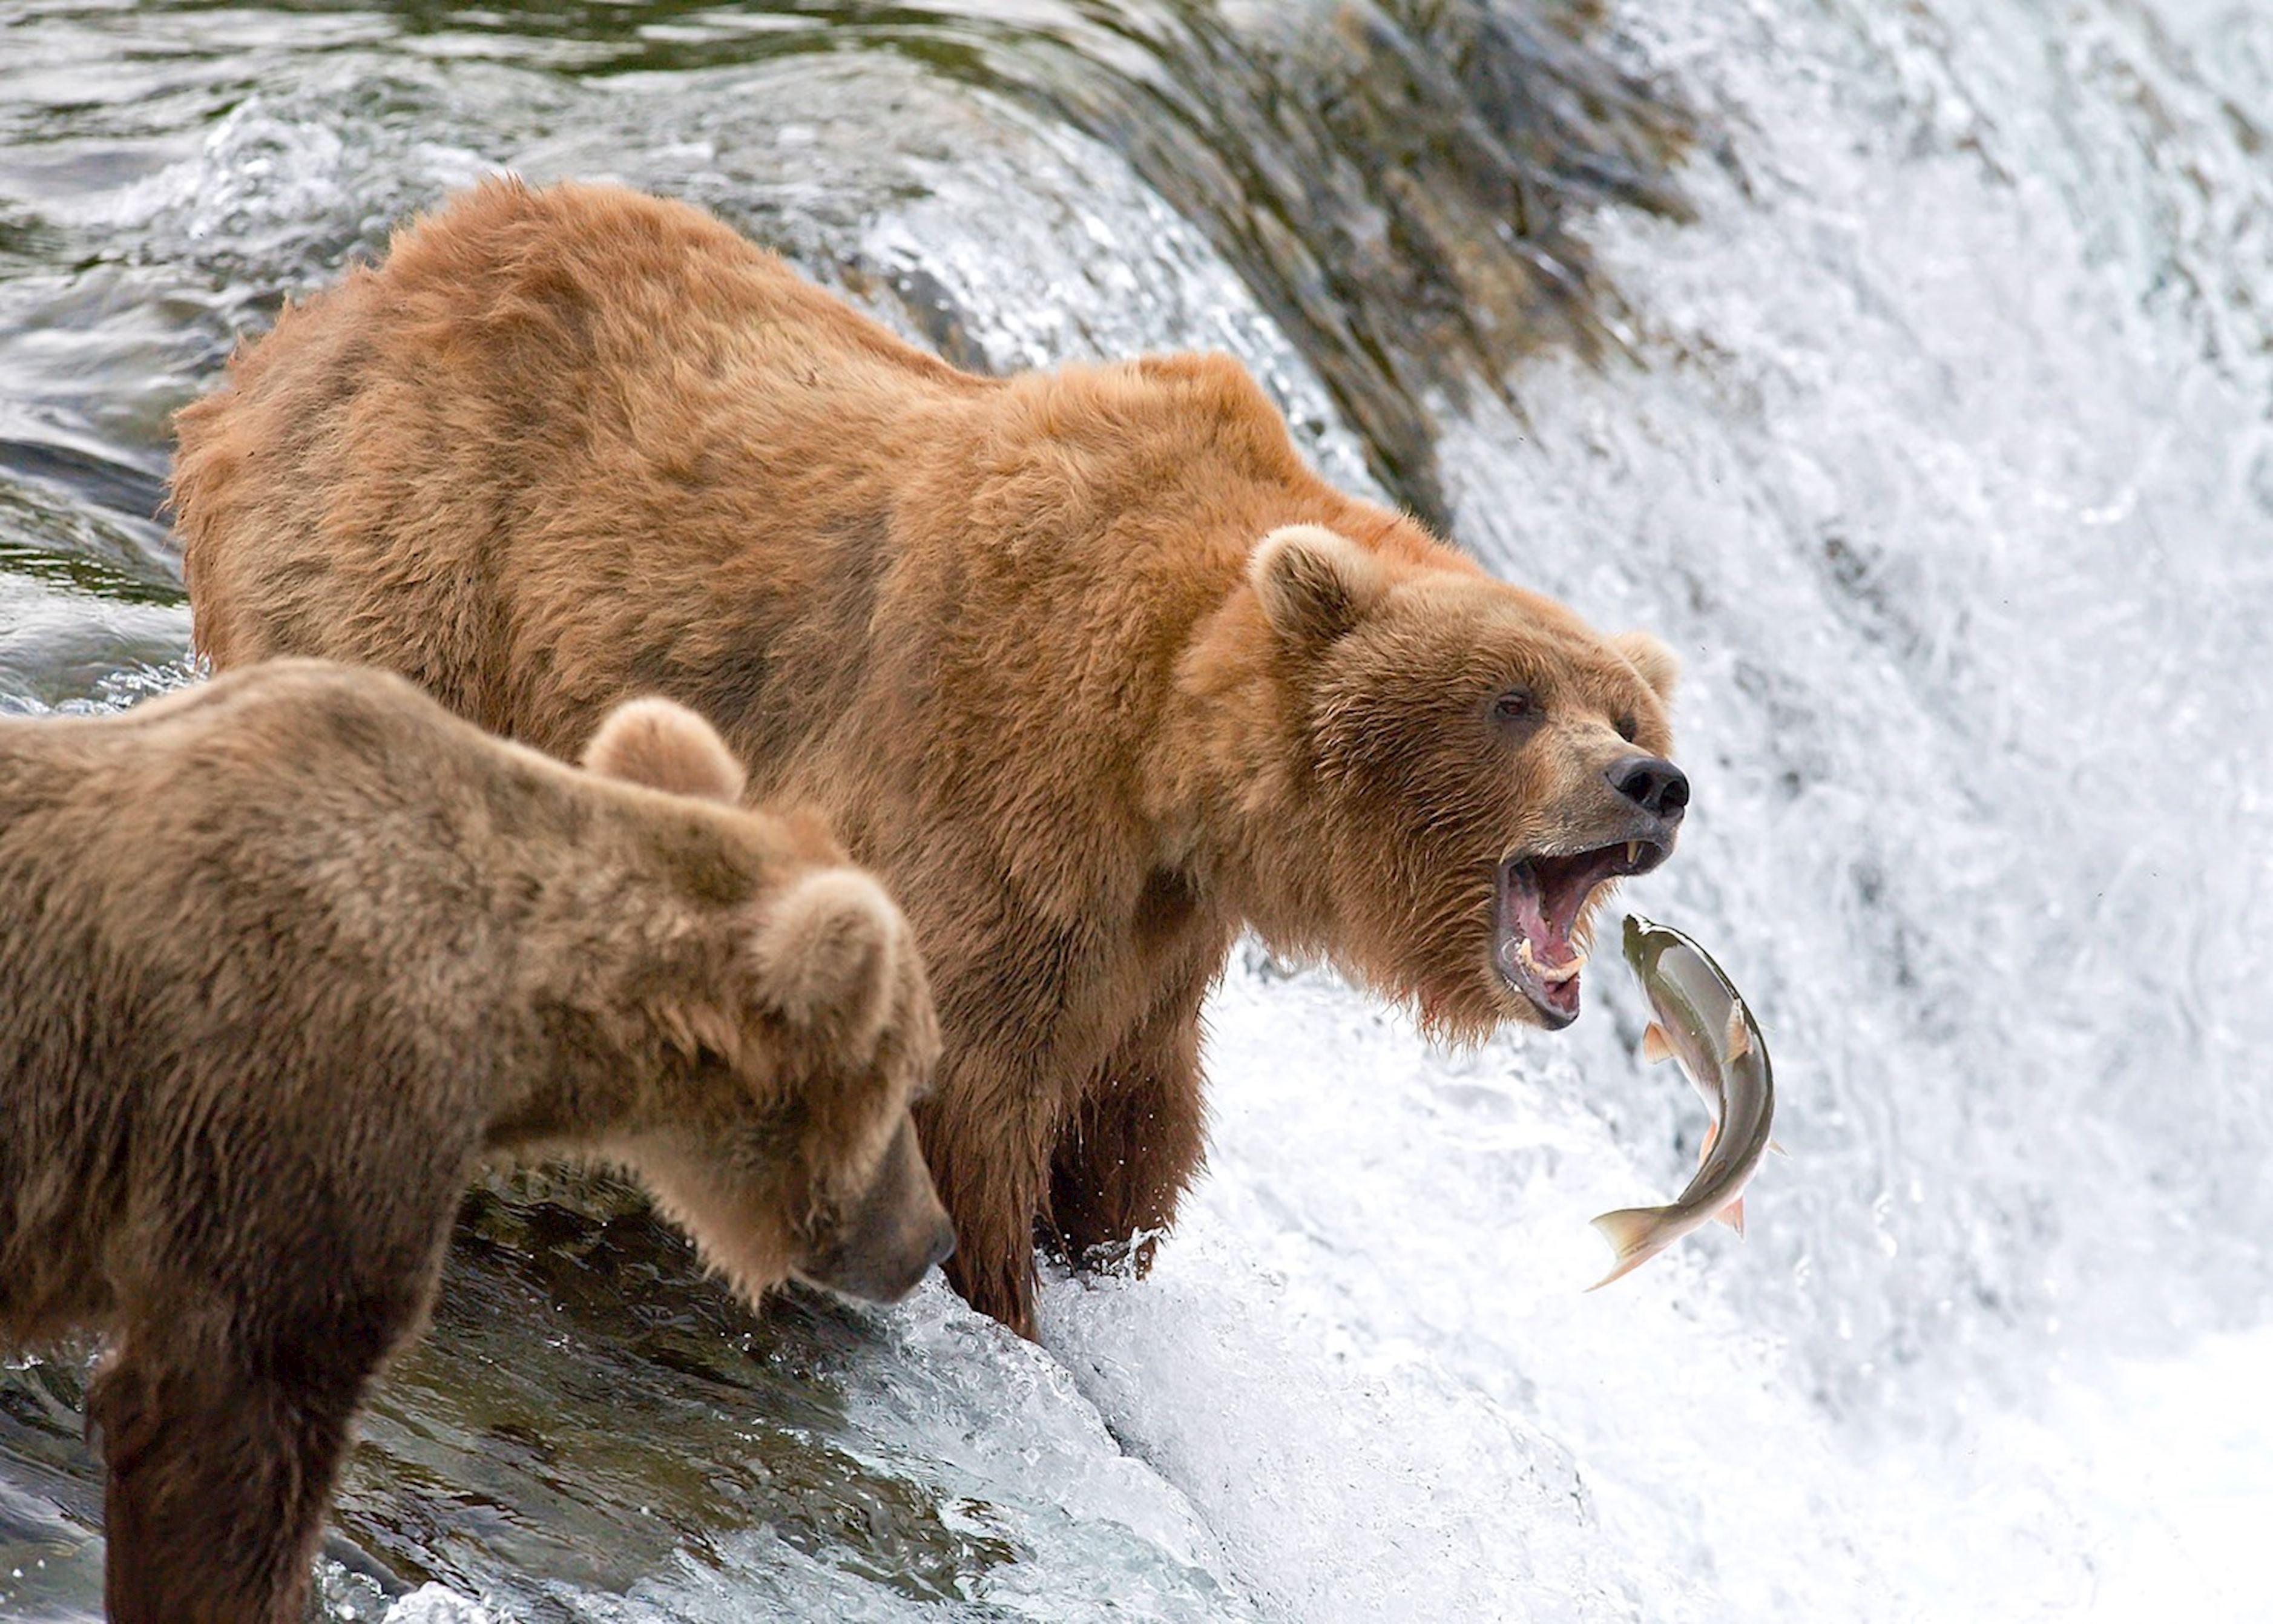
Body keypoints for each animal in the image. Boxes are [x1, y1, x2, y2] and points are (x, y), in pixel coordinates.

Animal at [173, 180, 1691, 1344]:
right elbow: (973, 1085)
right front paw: (1005, 1299)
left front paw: (1093, 1256)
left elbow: (1130, 1122)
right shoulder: (999, 774)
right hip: (419, 562)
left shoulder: (1154, 933)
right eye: (1511, 700)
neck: (1169, 755)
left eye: (1621, 710)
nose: (1650, 785)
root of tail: (317, 317)